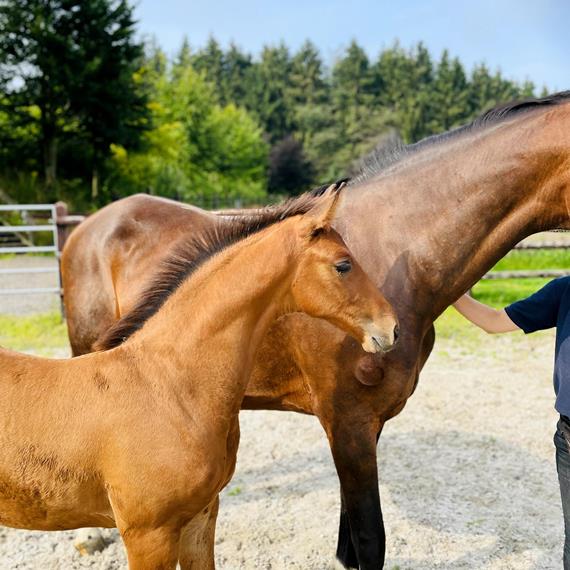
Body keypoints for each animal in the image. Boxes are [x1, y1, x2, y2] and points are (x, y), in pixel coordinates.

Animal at [62, 91, 568, 564]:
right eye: (343, 266)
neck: (396, 255)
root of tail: (86, 227)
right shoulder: (348, 422)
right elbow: (370, 540)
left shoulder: (367, 424)